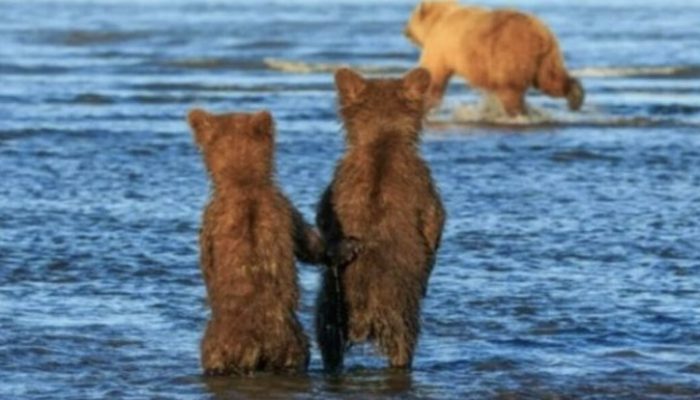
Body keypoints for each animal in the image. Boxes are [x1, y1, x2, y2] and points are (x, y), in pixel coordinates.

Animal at [188, 108, 336, 376]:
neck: (243, 181)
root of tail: (255, 346)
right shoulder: (282, 208)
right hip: (292, 347)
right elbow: (307, 242)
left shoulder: (212, 217)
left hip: (218, 343)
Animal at [315, 67, 446, 371]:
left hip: (331, 310)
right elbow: (435, 220)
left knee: (327, 343)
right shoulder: (422, 183)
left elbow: (323, 217)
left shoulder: (336, 184)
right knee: (404, 345)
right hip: (399, 312)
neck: (382, 139)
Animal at [404, 0, 584, 117]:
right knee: (550, 80)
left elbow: (434, 73)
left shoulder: (441, 46)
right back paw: (575, 96)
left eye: (410, 20)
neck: (437, 21)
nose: (405, 31)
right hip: (546, 58)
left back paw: (516, 112)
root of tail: (541, 35)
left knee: (511, 89)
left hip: (510, 53)